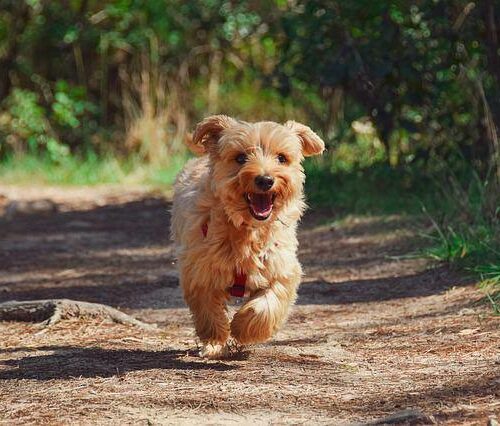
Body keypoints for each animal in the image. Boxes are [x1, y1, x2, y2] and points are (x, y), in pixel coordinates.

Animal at [171, 115, 324, 358]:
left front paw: (243, 328)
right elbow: (208, 310)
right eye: (240, 157)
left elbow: (266, 305)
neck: (247, 229)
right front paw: (215, 339)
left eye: (282, 158)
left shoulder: (281, 269)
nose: (265, 180)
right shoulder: (199, 270)